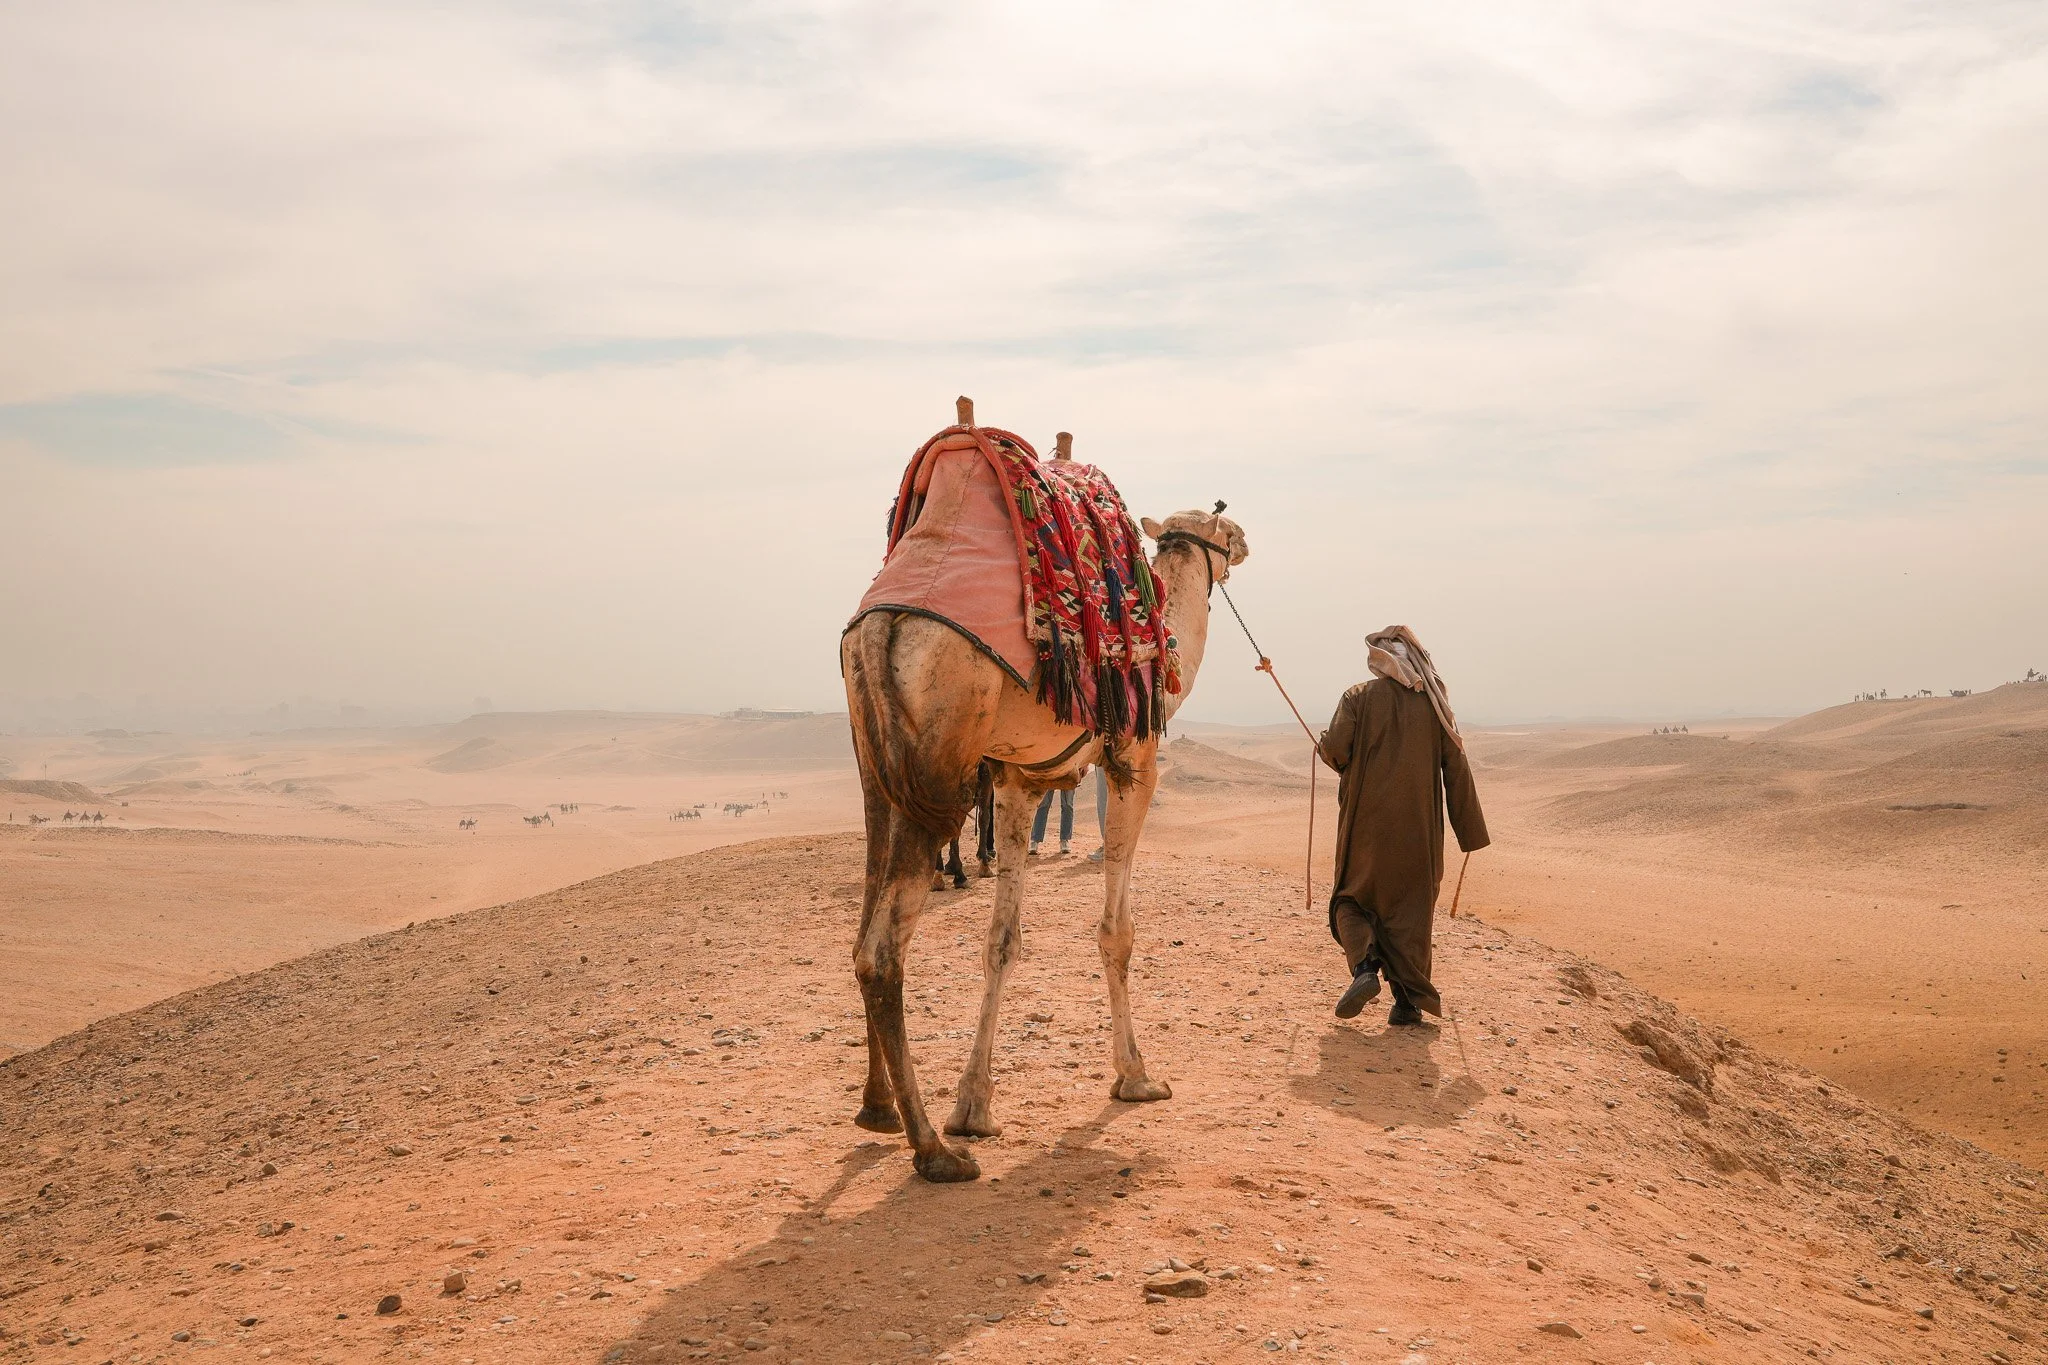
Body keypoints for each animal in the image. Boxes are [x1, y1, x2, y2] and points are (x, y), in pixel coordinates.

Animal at [840, 399, 1249, 1182]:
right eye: (1216, 529)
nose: (1244, 540)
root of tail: (881, 628)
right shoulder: (1133, 763)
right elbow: (1117, 931)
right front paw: (1136, 1076)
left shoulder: (1020, 780)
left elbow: (1002, 940)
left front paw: (974, 1105)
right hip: (937, 755)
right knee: (882, 949)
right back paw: (932, 1150)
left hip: (878, 769)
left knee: (862, 927)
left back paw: (879, 1110)